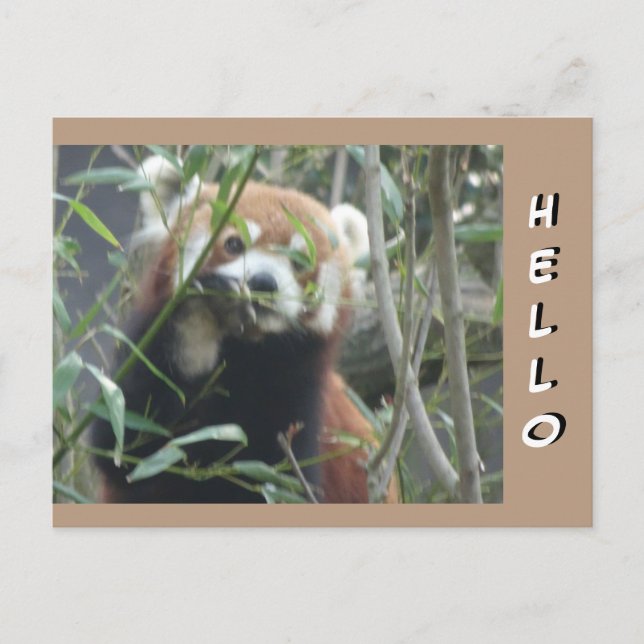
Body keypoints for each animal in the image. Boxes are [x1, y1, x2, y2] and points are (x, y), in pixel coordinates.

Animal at [91, 155, 395, 504]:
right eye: (234, 244)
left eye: (301, 261)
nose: (263, 282)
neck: (243, 354)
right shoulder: (146, 357)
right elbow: (125, 447)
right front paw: (203, 315)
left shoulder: (297, 394)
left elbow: (276, 480)